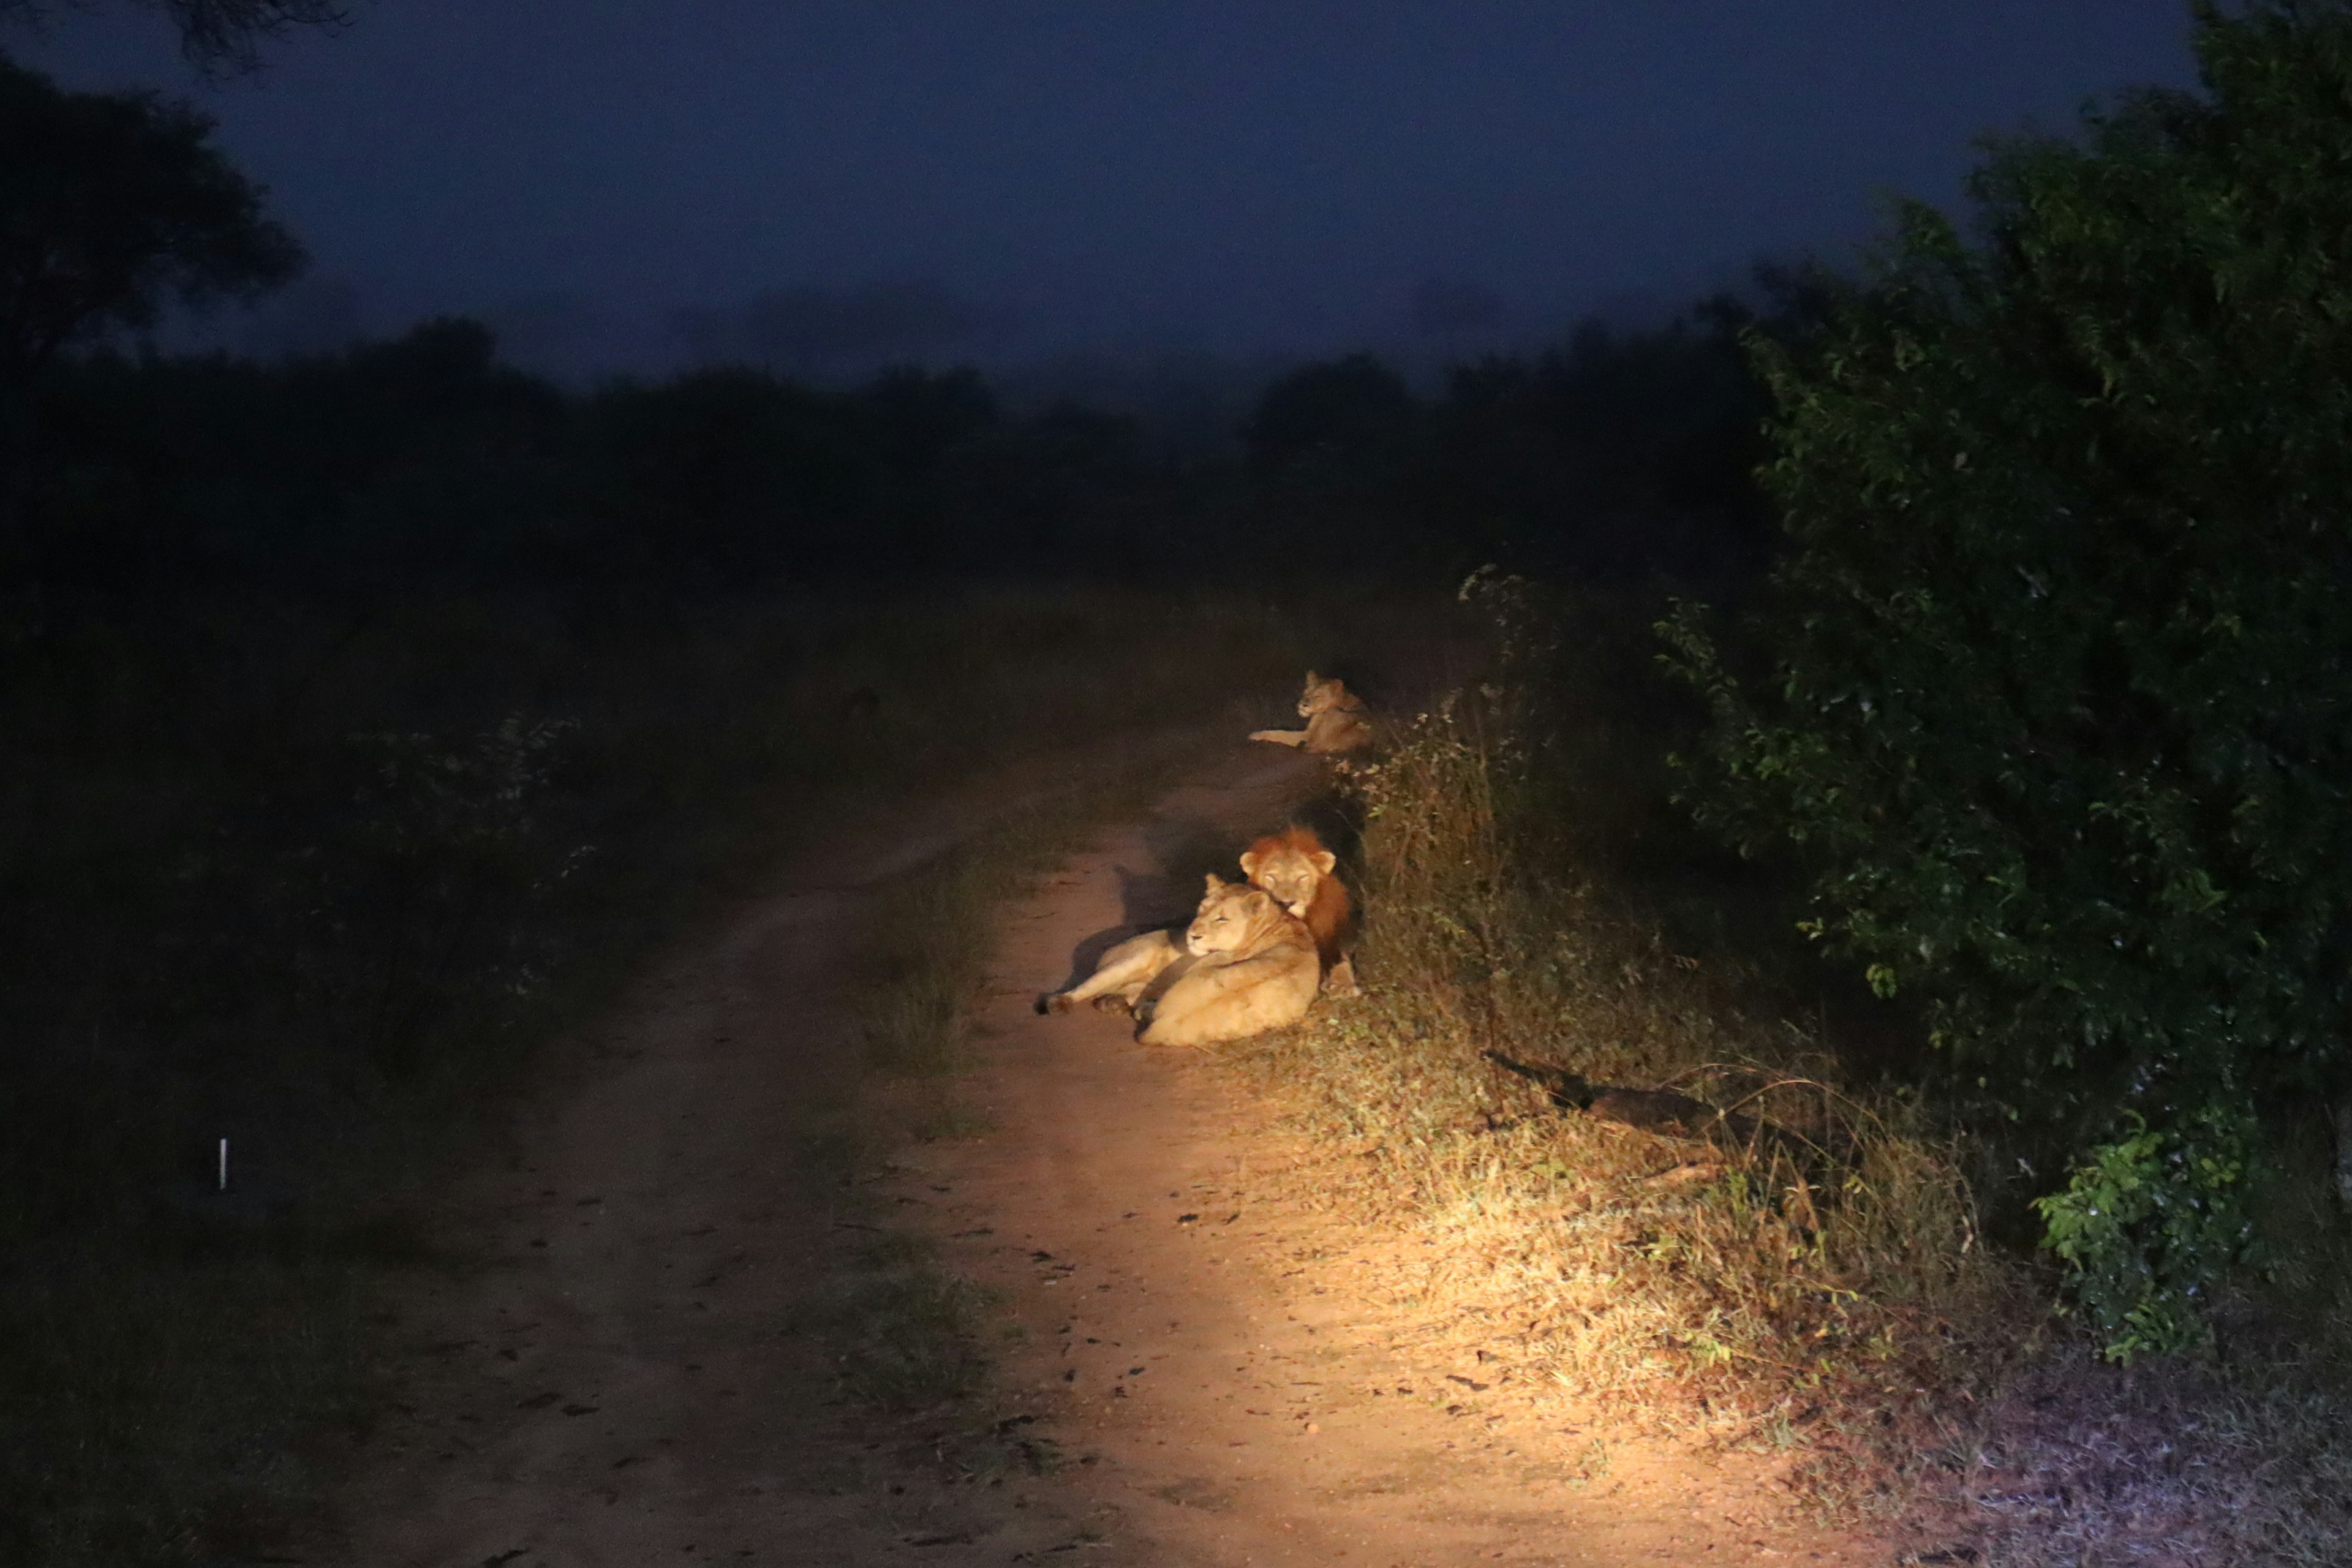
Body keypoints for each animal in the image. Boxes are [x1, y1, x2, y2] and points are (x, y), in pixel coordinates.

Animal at [1044, 870, 1326, 1044]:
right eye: (1201, 910)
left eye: (1222, 919)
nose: (1192, 935)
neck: (1280, 924)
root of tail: (1168, 1021)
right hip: (1133, 958)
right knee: (1085, 988)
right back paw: (1063, 1003)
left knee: (1130, 998)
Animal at [1242, 668, 1373, 752]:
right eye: (1307, 692)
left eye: (1318, 696)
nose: (1303, 705)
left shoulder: (1309, 736)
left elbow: (1281, 733)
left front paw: (1257, 735)